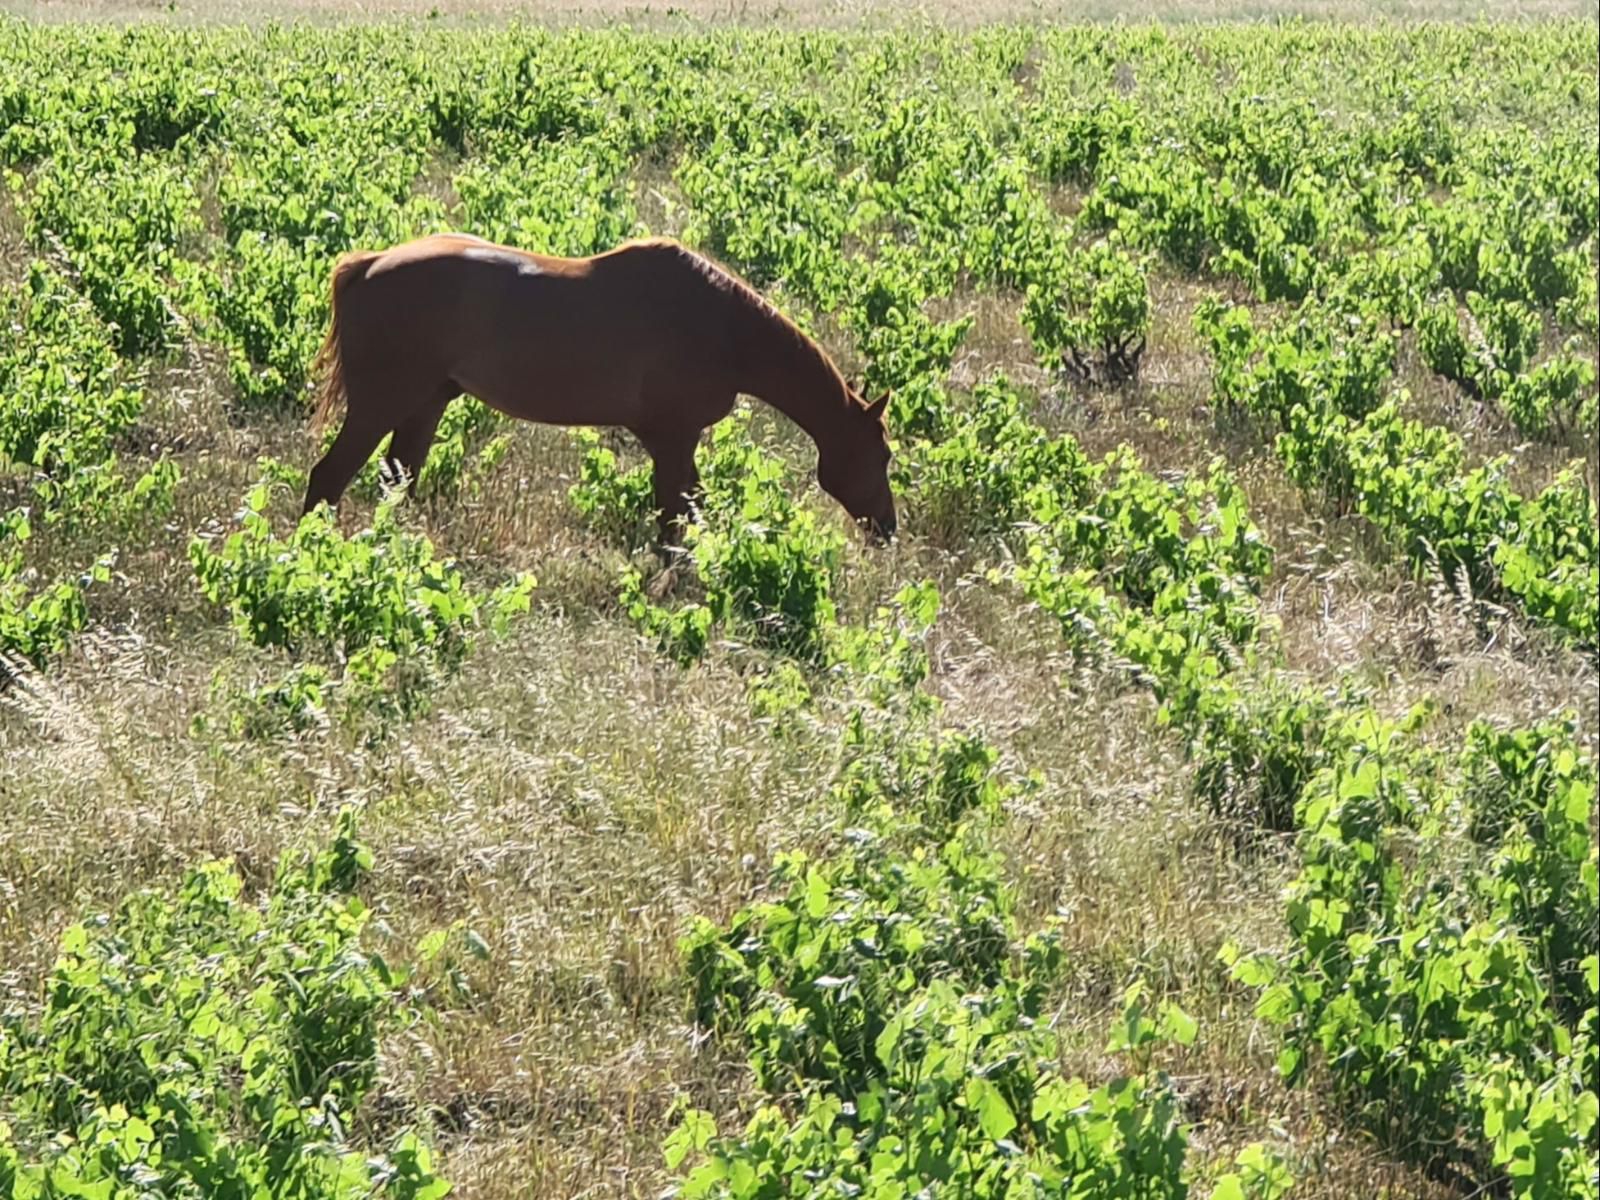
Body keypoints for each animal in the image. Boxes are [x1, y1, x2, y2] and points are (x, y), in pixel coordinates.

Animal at [302, 232, 902, 550]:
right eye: (883, 455)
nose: (888, 529)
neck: (724, 329)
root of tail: (367, 265)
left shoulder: (674, 442)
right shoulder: (674, 438)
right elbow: (674, 521)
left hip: (425, 405)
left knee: (395, 482)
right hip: (381, 404)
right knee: (328, 477)